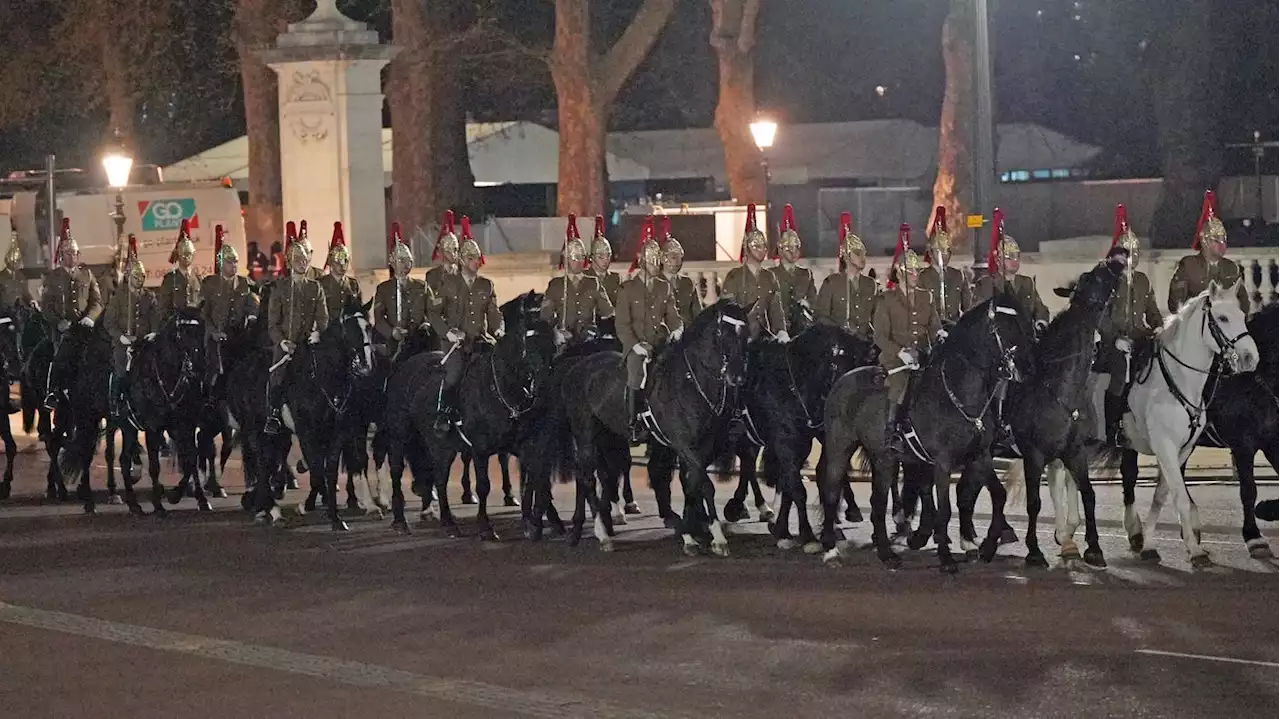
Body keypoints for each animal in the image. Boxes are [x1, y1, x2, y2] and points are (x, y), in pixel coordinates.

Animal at [381, 287, 558, 534]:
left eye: (551, 332)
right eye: (530, 334)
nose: (545, 382)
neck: (502, 387)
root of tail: (405, 364)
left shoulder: (525, 445)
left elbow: (535, 479)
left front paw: (536, 521)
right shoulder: (480, 448)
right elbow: (484, 485)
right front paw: (485, 527)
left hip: (441, 445)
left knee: (439, 477)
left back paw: (448, 521)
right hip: (400, 436)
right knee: (397, 471)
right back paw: (400, 520)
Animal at [819, 286, 1039, 570]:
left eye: (1024, 321)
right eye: (1003, 326)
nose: (1028, 367)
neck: (958, 393)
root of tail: (842, 380)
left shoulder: (980, 456)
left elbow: (993, 495)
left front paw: (983, 547)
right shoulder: (943, 463)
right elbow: (944, 509)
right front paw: (946, 557)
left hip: (884, 459)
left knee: (878, 502)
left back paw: (887, 553)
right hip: (840, 447)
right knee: (832, 490)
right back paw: (830, 548)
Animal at [1003, 255, 1126, 565]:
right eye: (1088, 278)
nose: (1114, 260)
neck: (1058, 387)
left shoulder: (1075, 452)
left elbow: (1088, 494)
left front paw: (1093, 547)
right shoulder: (1033, 455)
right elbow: (1034, 502)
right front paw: (1034, 550)